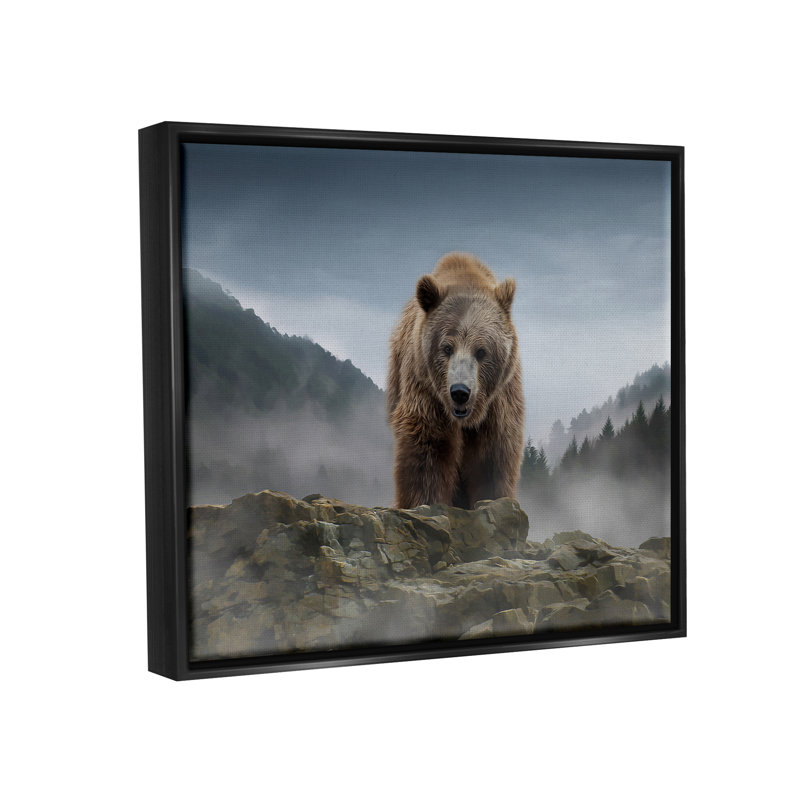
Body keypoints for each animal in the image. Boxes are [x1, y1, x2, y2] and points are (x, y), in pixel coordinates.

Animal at [386, 252, 524, 509]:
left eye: (481, 351)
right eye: (447, 347)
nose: (460, 392)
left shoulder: (499, 399)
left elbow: (493, 455)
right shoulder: (425, 387)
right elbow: (428, 446)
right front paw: (426, 501)